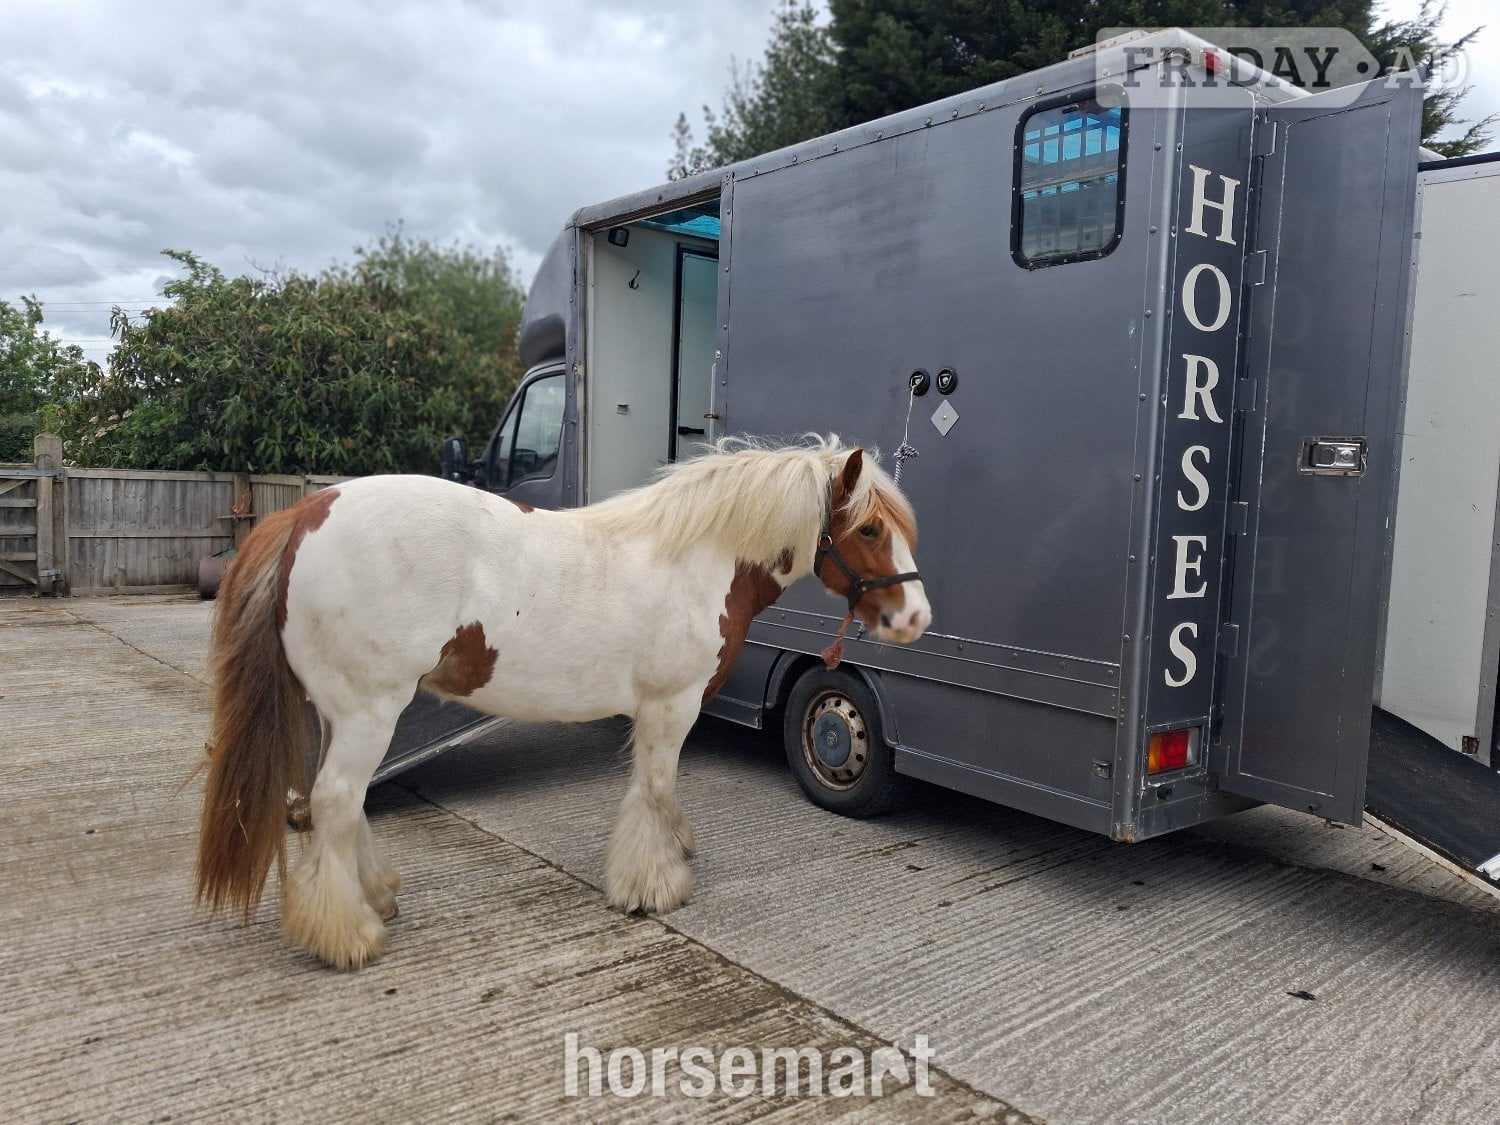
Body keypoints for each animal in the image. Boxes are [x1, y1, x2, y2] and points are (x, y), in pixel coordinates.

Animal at [196, 436, 930, 969]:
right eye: (869, 530)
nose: (915, 618)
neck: (696, 559)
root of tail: (302, 515)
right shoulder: (670, 705)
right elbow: (654, 788)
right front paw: (653, 886)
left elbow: (661, 789)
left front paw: (673, 850)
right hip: (370, 710)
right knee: (337, 800)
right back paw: (347, 934)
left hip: (341, 712)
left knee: (341, 805)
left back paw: (374, 895)